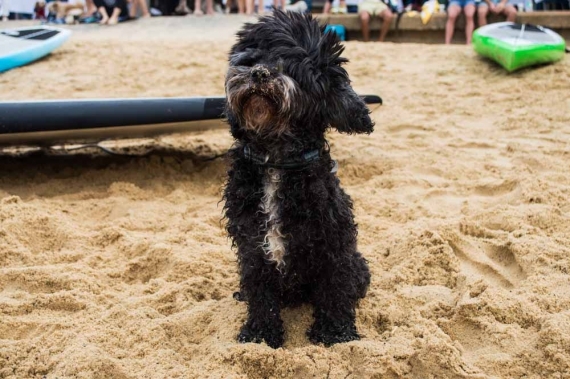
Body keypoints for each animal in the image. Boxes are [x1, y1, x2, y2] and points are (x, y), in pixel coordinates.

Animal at [222, 10, 372, 348]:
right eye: (251, 58)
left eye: (291, 66)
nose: (259, 73)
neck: (276, 159)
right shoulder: (252, 246)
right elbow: (261, 296)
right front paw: (260, 336)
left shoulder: (334, 244)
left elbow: (334, 290)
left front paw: (335, 333)